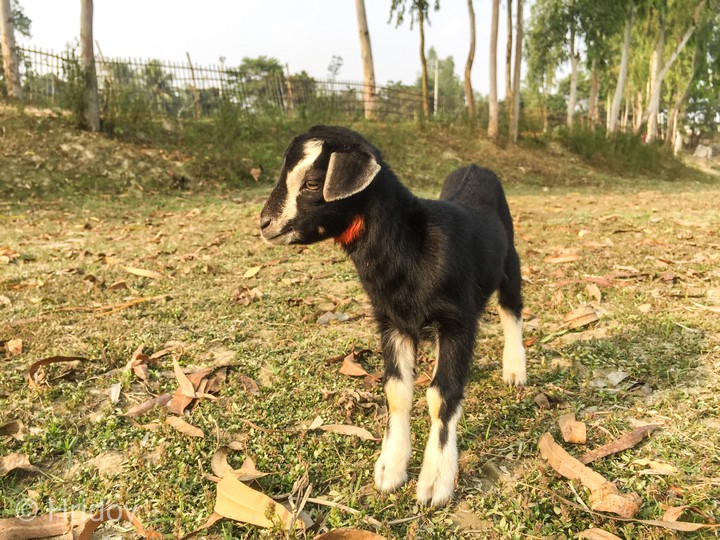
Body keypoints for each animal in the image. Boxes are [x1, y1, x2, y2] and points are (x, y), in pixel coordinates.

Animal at [259, 125, 526, 506]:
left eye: (312, 182)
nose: (265, 224)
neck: (414, 245)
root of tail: (476, 167)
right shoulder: (392, 321)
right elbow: (397, 392)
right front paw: (390, 469)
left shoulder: (457, 320)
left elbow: (441, 395)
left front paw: (435, 482)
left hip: (510, 264)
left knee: (511, 310)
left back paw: (515, 370)